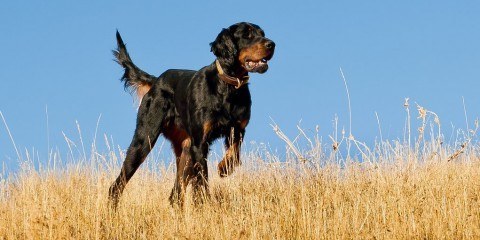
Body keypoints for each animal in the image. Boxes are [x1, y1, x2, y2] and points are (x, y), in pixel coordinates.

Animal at [108, 21, 274, 207]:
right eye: (247, 35)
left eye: (262, 33)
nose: (272, 44)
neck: (228, 87)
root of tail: (156, 80)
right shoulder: (200, 143)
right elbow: (202, 180)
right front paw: (204, 204)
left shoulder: (237, 130)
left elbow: (235, 154)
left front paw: (224, 168)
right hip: (144, 140)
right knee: (117, 185)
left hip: (186, 149)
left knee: (175, 194)